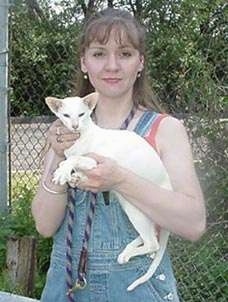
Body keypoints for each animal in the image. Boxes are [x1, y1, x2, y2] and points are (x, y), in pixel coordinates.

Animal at [45, 92, 171, 290]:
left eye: (81, 114)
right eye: (66, 115)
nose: (75, 125)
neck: (81, 138)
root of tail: (168, 184)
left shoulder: (96, 161)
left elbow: (73, 160)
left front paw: (63, 172)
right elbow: (71, 162)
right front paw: (73, 176)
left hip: (137, 204)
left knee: (153, 243)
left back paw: (129, 254)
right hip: (130, 205)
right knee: (151, 235)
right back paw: (128, 250)